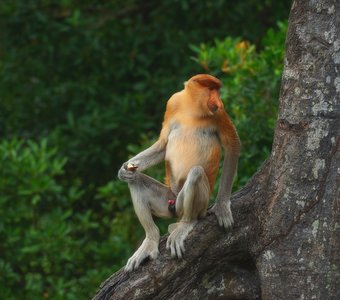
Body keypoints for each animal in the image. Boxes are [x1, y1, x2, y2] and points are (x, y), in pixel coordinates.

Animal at [118, 74, 240, 270]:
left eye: (217, 90)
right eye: (211, 90)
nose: (218, 101)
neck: (192, 108)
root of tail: (174, 205)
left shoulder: (219, 113)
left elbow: (233, 145)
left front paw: (222, 208)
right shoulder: (172, 103)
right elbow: (162, 145)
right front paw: (124, 170)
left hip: (197, 203)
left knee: (196, 173)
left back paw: (185, 224)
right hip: (167, 199)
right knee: (135, 180)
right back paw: (150, 240)